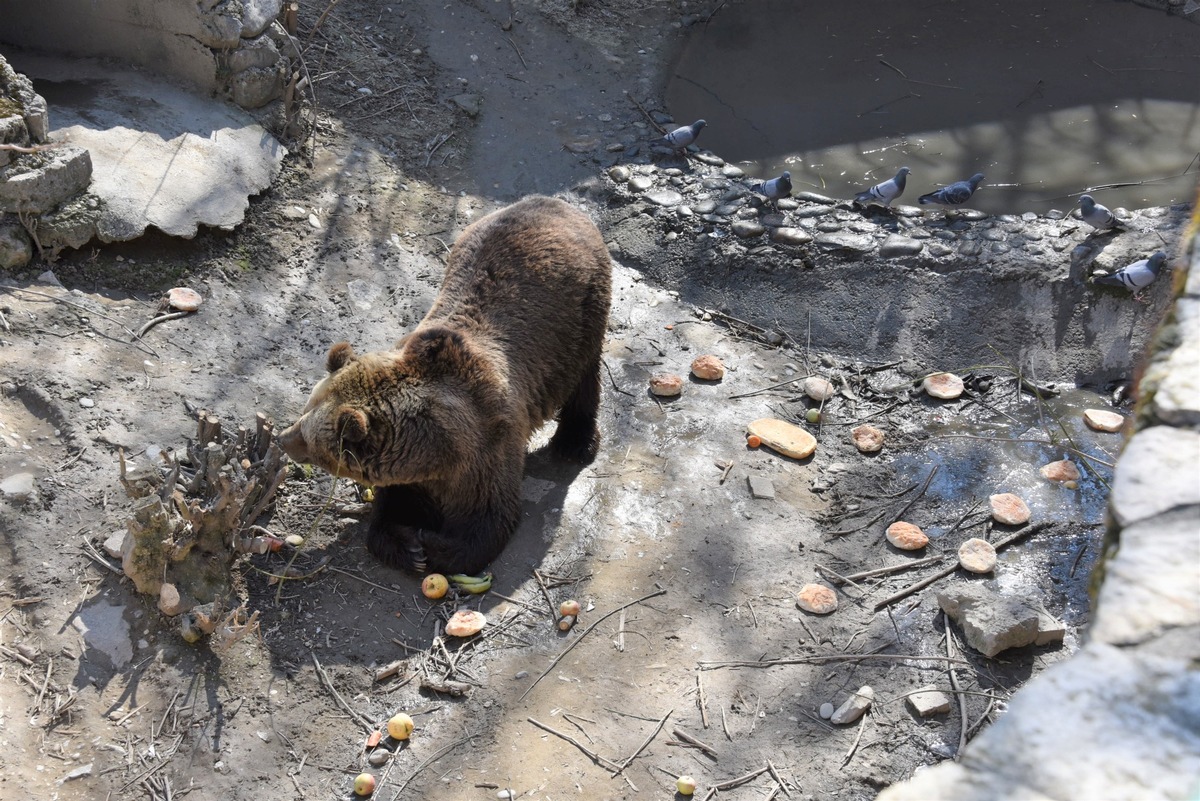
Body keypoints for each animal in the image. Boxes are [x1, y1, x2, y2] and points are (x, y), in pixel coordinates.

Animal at [273, 196, 609, 577]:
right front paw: (407, 545)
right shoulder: (412, 472)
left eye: (311, 440)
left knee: (584, 376)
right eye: (304, 412)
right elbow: (390, 513)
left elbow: (489, 520)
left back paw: (575, 442)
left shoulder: (487, 447)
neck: (437, 450)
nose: (283, 438)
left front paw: (431, 547)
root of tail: (556, 203)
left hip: (579, 317)